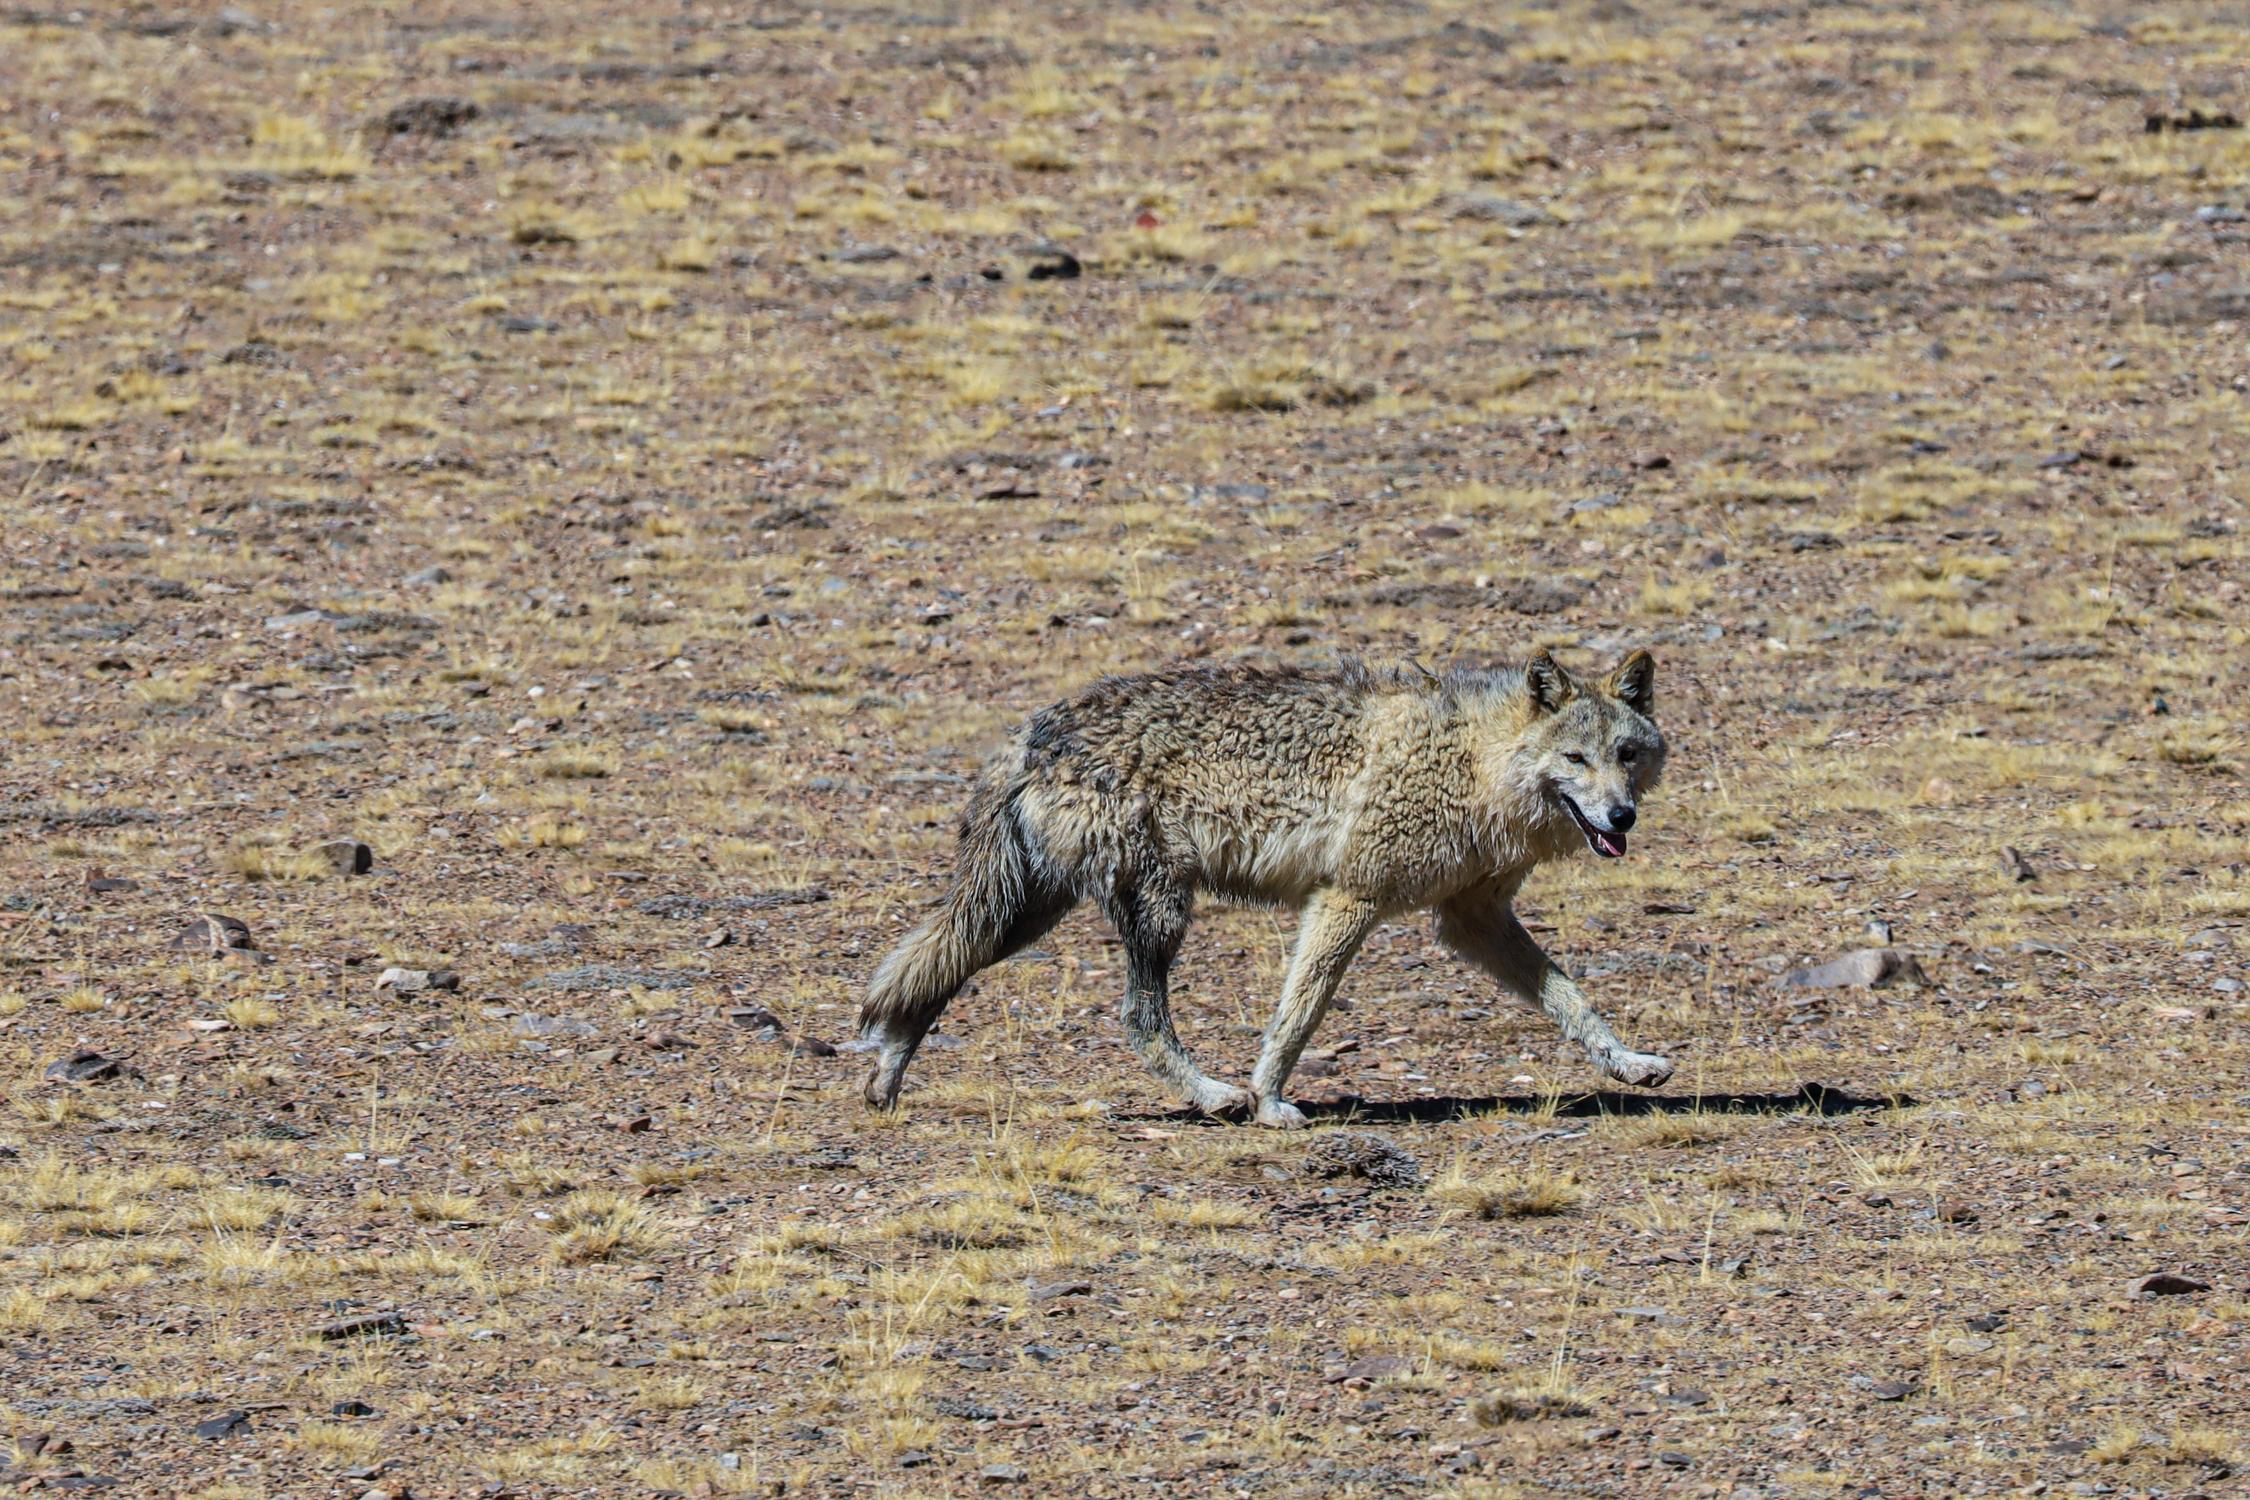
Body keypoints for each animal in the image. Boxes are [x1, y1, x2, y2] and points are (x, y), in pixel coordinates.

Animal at [855, 647, 1674, 1124]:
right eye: (1575, 758)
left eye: (1626, 754)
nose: (1621, 816)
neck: (1475, 762)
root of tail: (1032, 731)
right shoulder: (1348, 900)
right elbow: (1299, 1014)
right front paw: (1271, 1099)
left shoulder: (1473, 921)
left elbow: (1574, 1001)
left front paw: (1630, 1063)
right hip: (1157, 912)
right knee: (1139, 1021)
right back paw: (1217, 1096)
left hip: (1026, 914)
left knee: (928, 972)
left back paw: (885, 1083)